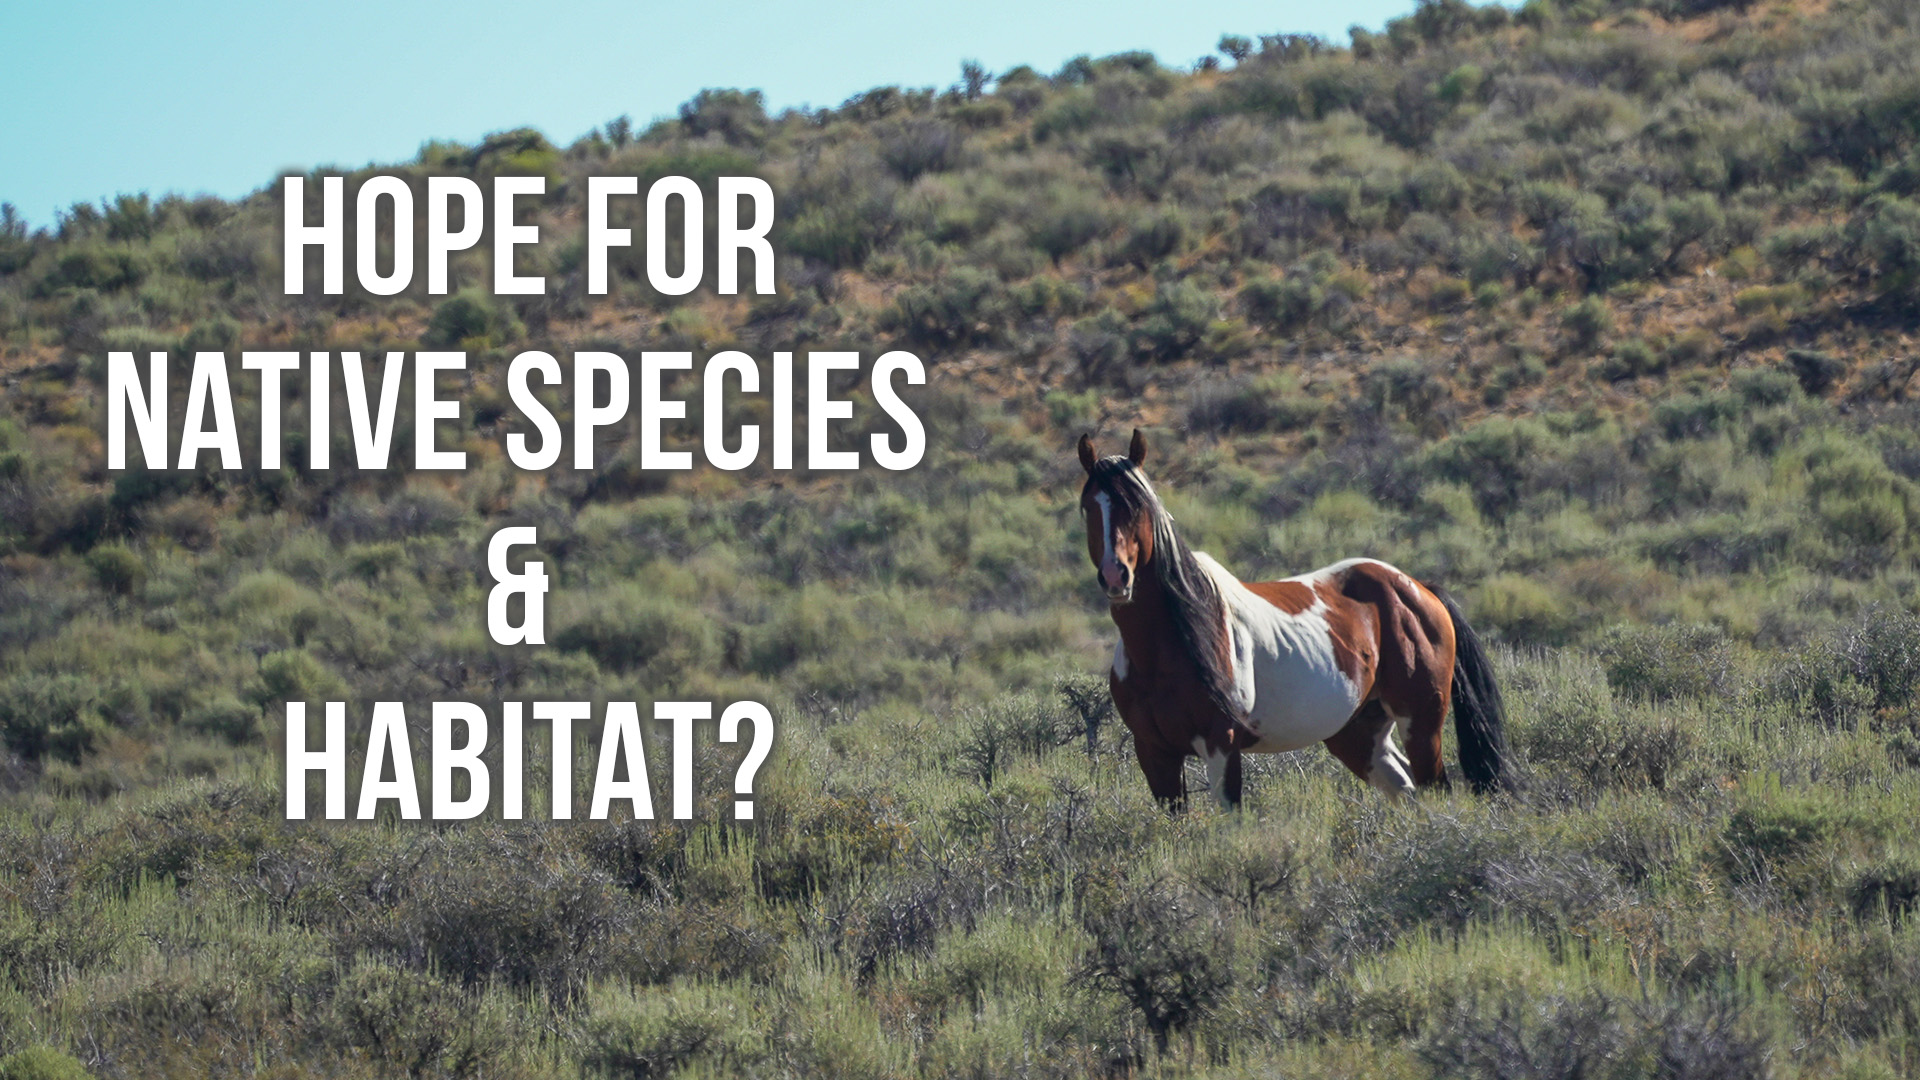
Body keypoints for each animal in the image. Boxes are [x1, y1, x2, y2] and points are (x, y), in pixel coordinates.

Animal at [1076, 429, 1509, 809]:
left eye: (1138, 506)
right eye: (1087, 507)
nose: (1116, 577)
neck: (1167, 650)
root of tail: (1418, 589)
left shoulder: (1221, 744)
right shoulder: (1154, 752)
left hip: (1421, 723)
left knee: (1434, 788)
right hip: (1358, 734)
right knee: (1406, 790)